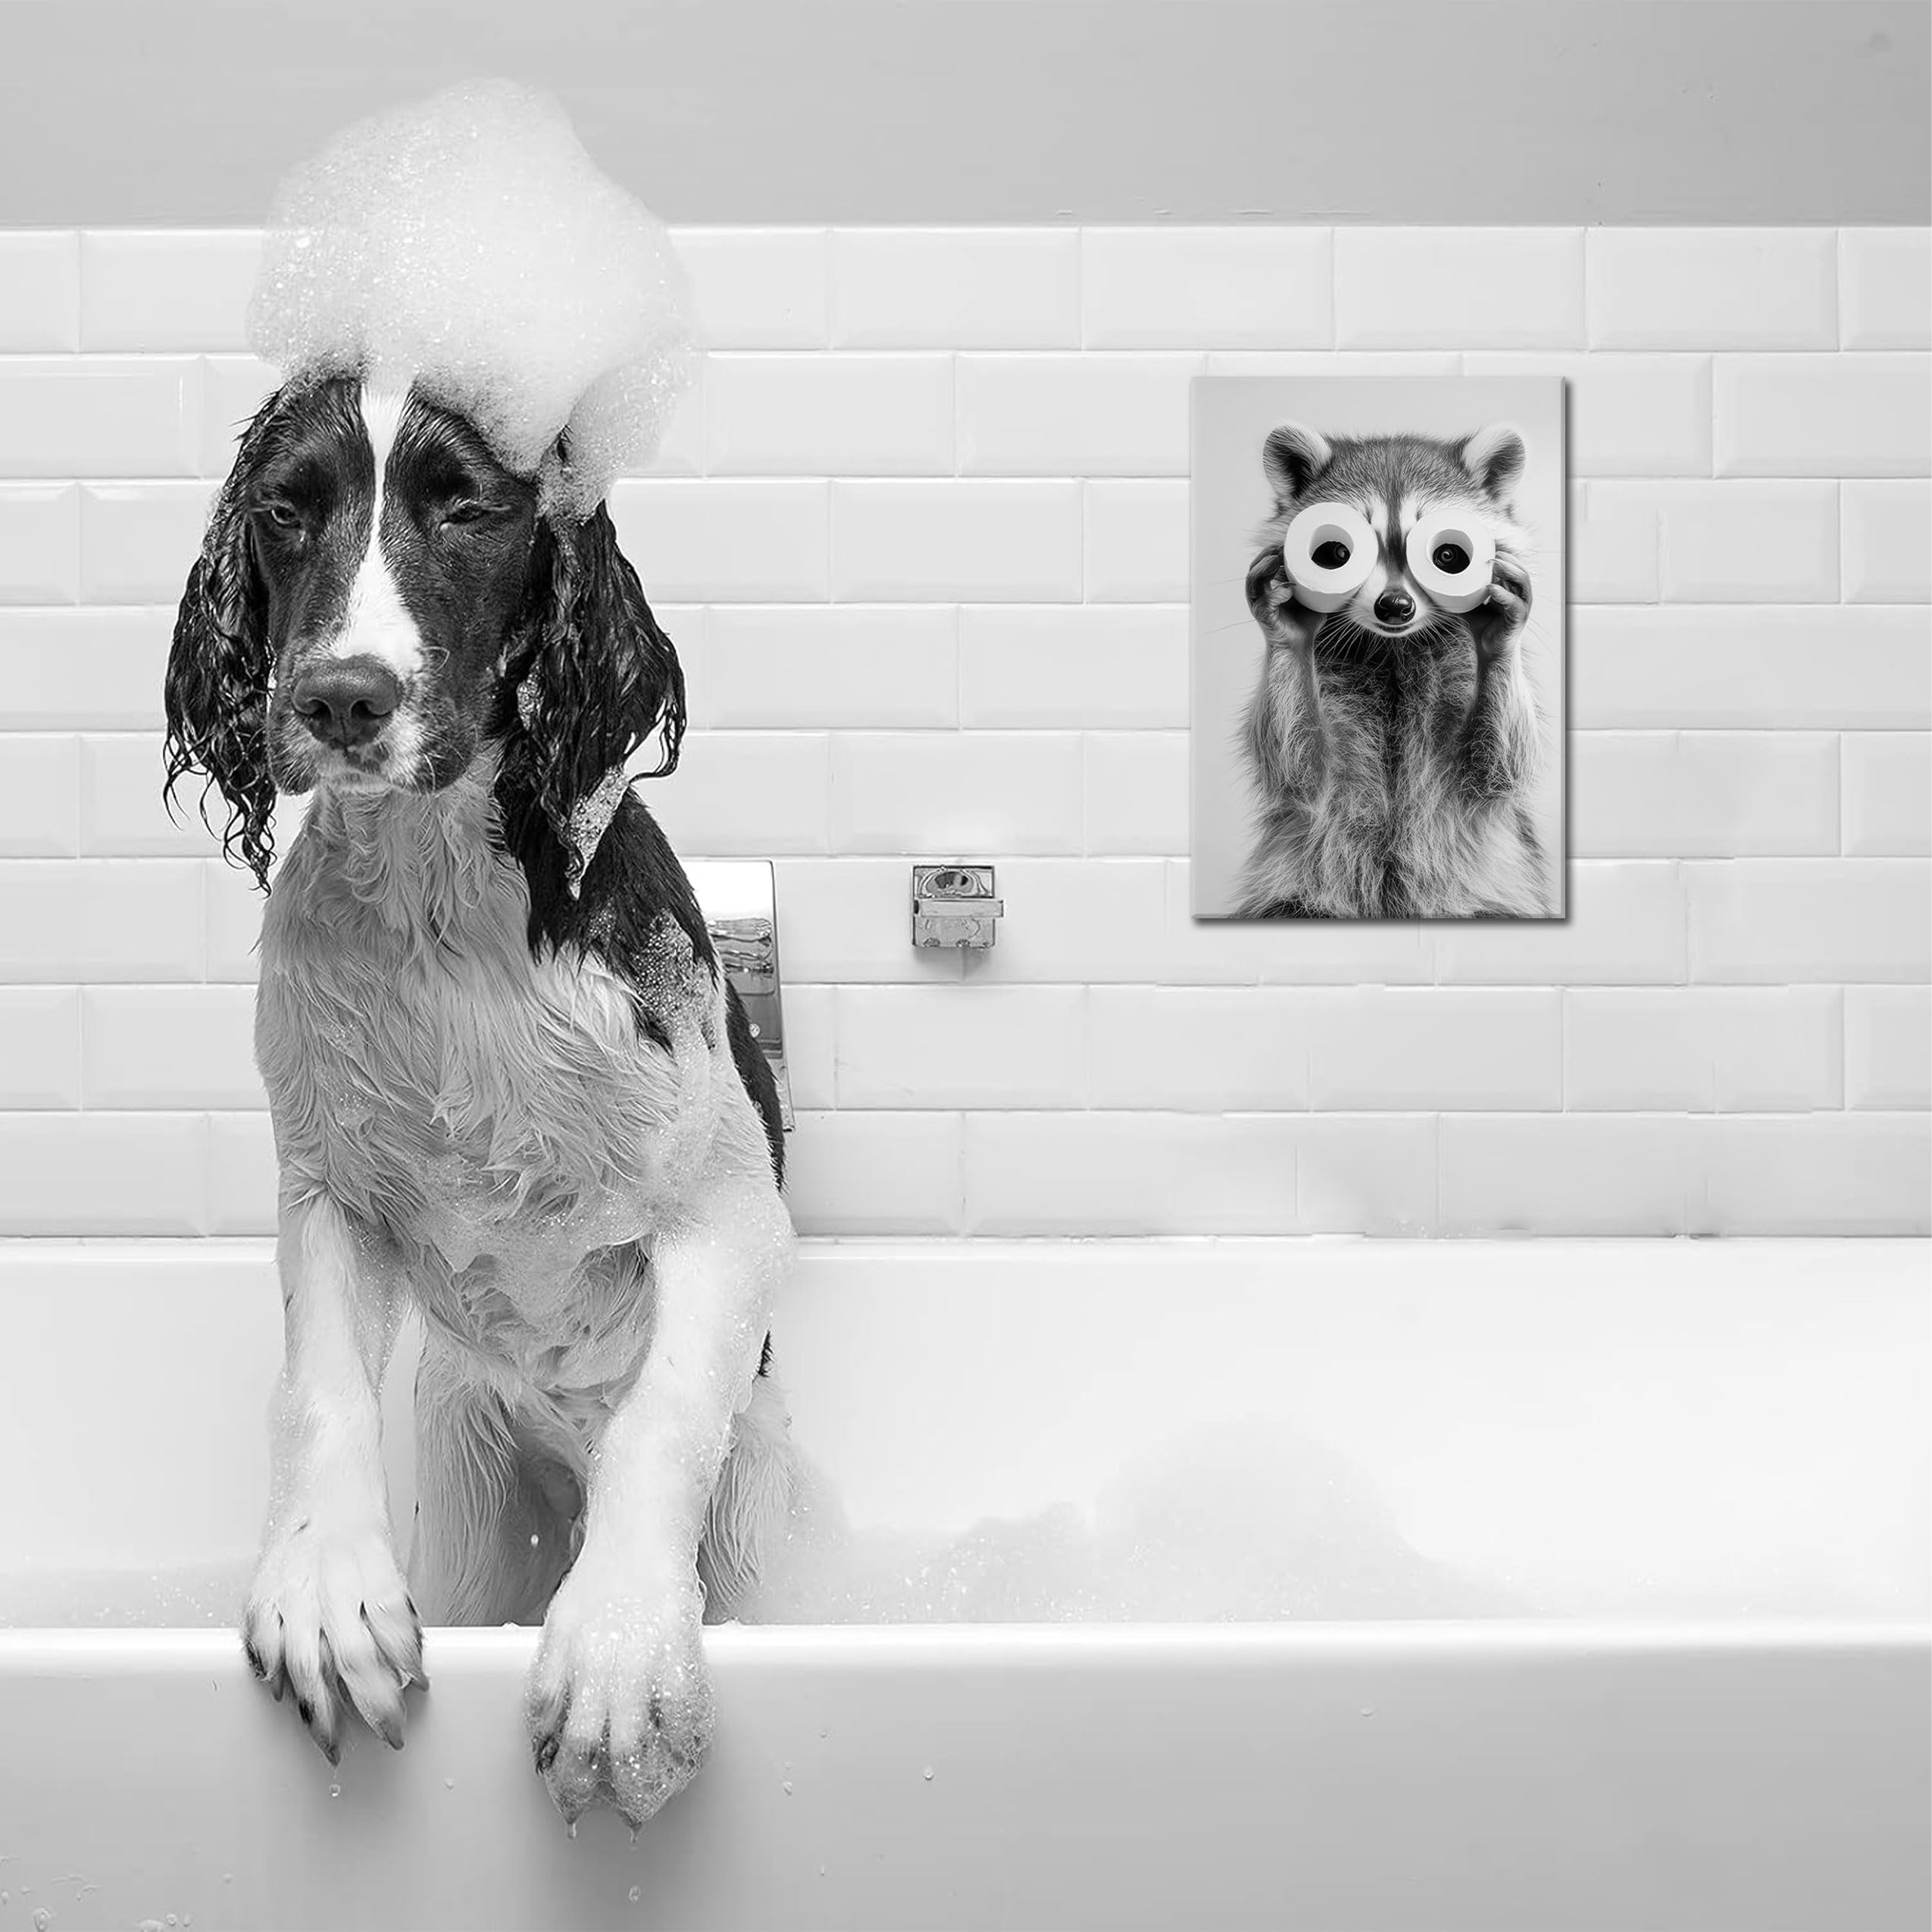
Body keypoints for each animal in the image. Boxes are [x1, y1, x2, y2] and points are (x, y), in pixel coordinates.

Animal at [1237, 421, 1553, 919]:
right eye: (1336, 553)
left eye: (1448, 556)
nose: (1395, 606)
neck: (1394, 646)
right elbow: (1299, 774)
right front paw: (1286, 631)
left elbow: (1497, 771)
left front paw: (1501, 637)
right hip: (1298, 891)